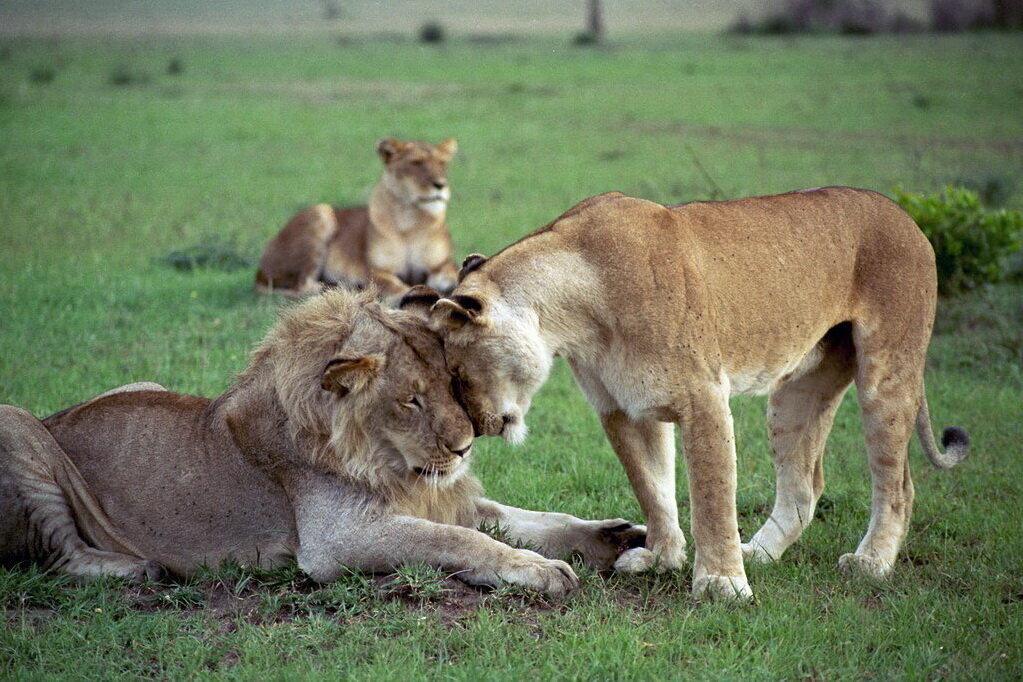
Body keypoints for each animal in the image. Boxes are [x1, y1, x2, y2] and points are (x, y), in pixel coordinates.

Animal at [0, 288, 638, 597]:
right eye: (410, 400)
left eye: (454, 382)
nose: (464, 450)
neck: (383, 460)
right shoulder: (338, 539)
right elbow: (463, 541)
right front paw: (539, 570)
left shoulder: (437, 493)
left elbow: (529, 517)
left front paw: (613, 537)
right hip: (18, 424)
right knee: (62, 555)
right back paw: (141, 570)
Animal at [427, 188, 969, 601]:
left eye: (456, 373)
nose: (477, 430)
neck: (576, 310)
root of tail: (904, 214)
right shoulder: (622, 409)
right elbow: (652, 489)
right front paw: (662, 558)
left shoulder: (704, 398)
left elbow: (711, 497)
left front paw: (721, 585)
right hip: (797, 390)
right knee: (804, 486)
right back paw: (760, 553)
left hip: (887, 372)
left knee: (898, 486)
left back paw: (870, 563)